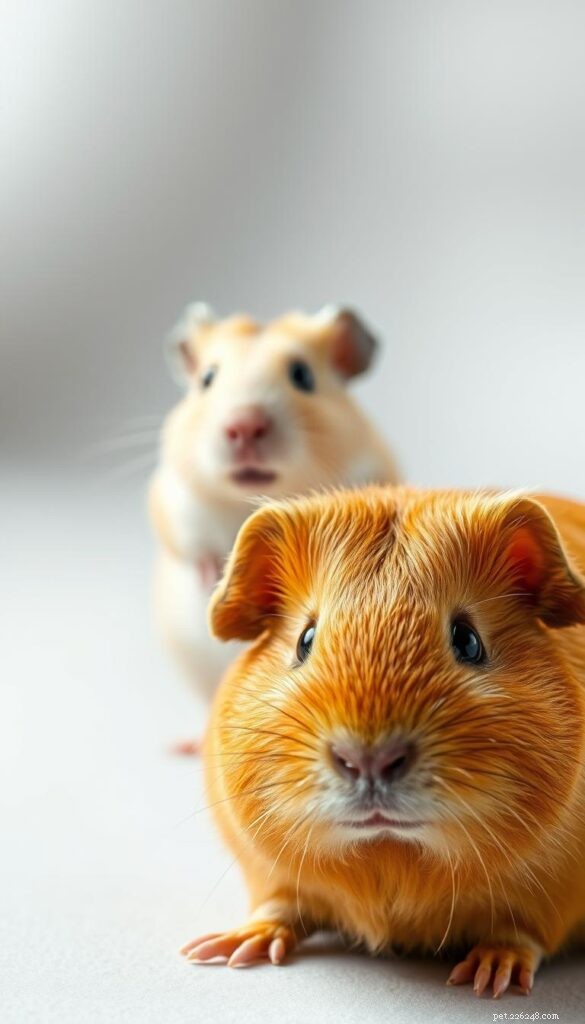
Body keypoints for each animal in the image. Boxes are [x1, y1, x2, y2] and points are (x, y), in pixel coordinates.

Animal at [148, 304, 398, 747]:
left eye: (303, 376)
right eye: (207, 379)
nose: (244, 426)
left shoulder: (373, 472)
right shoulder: (173, 497)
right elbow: (194, 544)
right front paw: (214, 579)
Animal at [181, 486, 585, 997]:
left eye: (468, 641)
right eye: (305, 640)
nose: (368, 761)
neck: (389, 856)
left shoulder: (549, 900)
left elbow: (520, 935)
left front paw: (490, 977)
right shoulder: (272, 875)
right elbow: (278, 909)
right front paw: (226, 950)